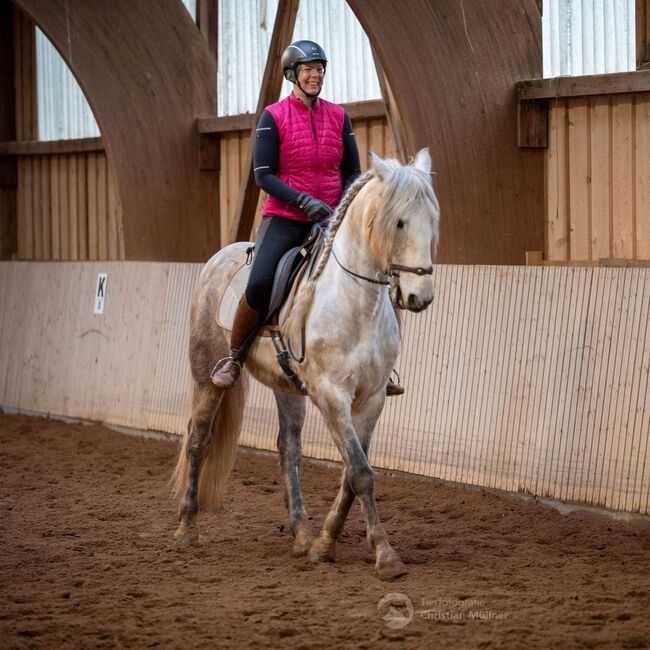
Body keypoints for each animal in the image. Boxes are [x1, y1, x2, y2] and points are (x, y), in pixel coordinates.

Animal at [172, 149, 438, 580]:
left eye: (432, 219)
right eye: (398, 221)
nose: (420, 296)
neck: (354, 303)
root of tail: (220, 257)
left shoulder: (371, 398)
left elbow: (352, 472)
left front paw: (325, 543)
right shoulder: (332, 395)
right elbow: (360, 472)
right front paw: (385, 556)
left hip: (287, 387)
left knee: (288, 450)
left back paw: (300, 534)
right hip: (207, 375)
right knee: (198, 441)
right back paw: (186, 529)